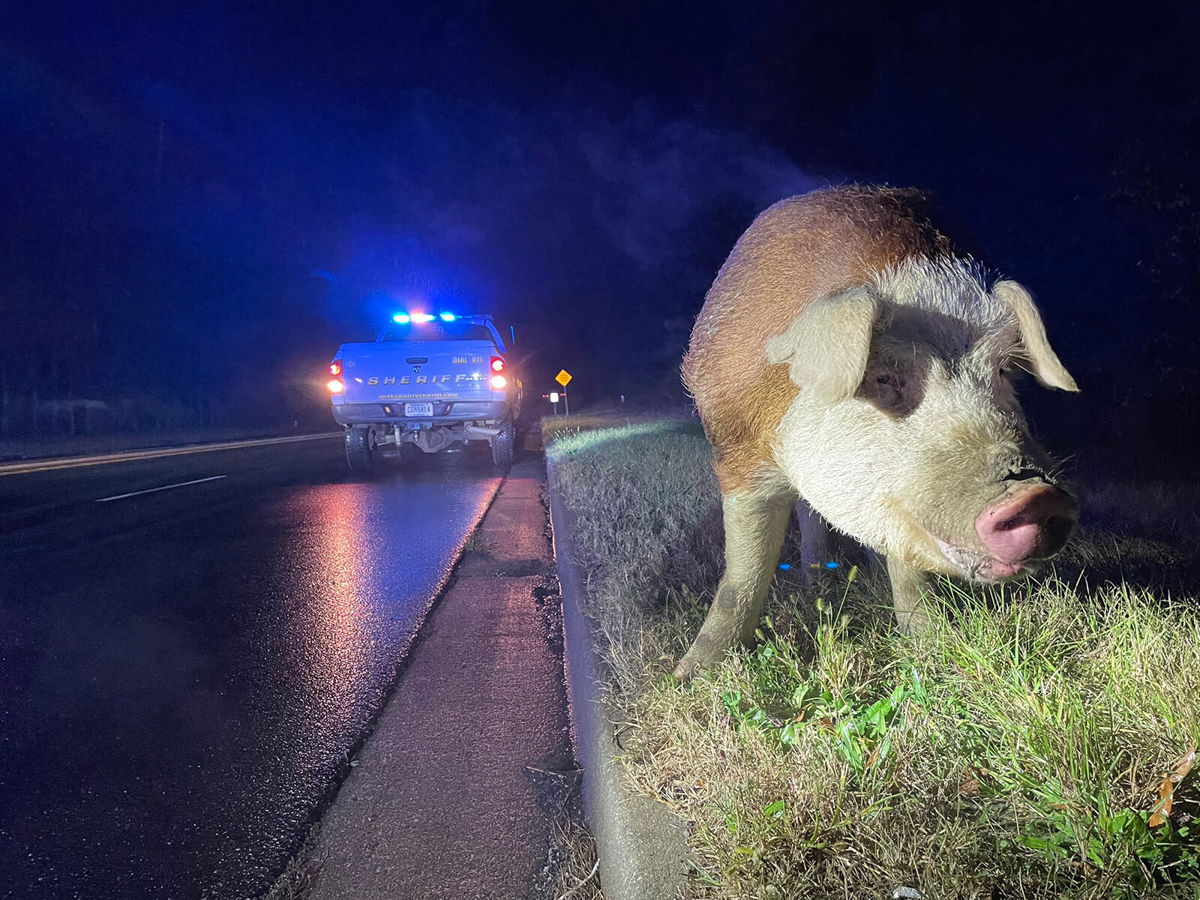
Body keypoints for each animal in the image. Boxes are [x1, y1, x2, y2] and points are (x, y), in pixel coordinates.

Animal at [681, 187, 1084, 681]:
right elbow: (745, 572)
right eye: (884, 377)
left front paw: (931, 643)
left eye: (1003, 369)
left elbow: (906, 564)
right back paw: (816, 580)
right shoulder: (737, 454)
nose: (1035, 494)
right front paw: (690, 677)